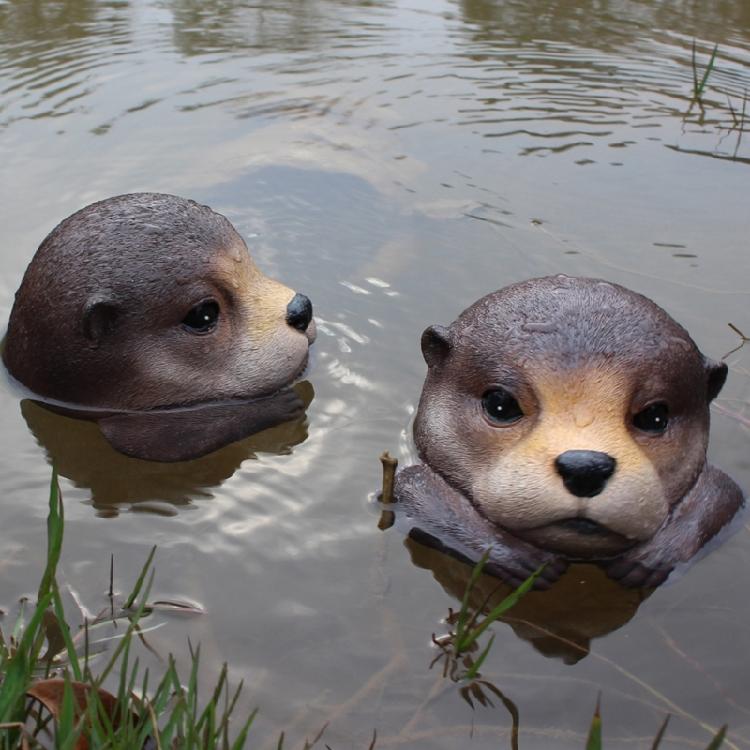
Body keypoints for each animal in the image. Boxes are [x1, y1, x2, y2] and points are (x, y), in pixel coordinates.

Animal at [393, 275, 744, 589]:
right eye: (500, 404)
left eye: (655, 416)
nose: (586, 467)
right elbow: (412, 486)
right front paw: (516, 557)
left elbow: (725, 492)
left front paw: (653, 556)